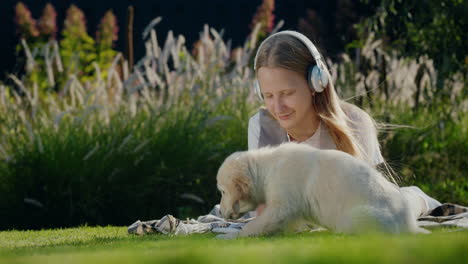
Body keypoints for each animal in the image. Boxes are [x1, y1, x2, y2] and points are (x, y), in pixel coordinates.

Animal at [216, 142, 428, 237]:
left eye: (223, 192)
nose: (221, 212)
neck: (267, 168)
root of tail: (409, 225)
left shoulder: (283, 204)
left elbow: (259, 223)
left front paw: (233, 235)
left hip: (358, 216)